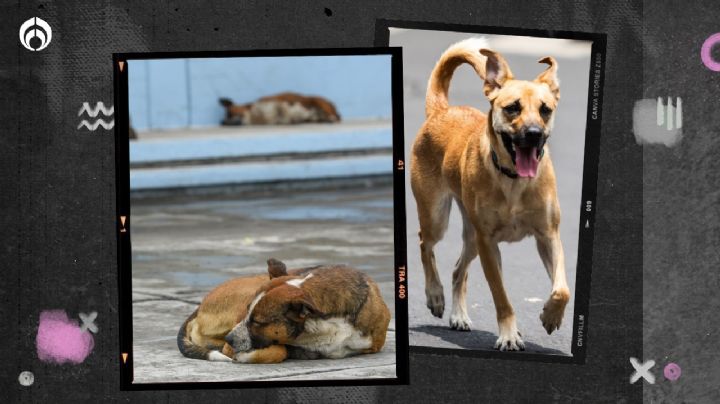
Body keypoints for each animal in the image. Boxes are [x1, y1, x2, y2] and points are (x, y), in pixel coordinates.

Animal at [410, 39, 568, 352]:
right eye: (512, 108)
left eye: (545, 109)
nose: (534, 133)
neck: (514, 181)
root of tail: (441, 110)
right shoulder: (489, 245)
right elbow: (502, 297)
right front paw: (508, 335)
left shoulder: (549, 236)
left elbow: (562, 289)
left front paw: (551, 315)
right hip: (438, 218)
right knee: (425, 244)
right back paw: (435, 296)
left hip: (471, 237)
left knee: (458, 271)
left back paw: (458, 315)